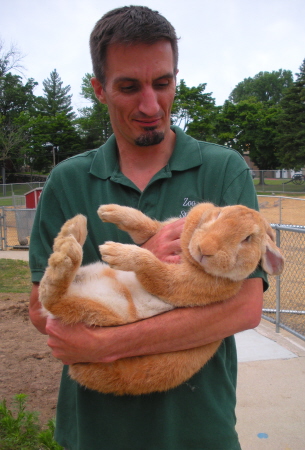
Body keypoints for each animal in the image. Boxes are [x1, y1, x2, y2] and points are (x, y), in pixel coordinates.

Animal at [39, 202, 282, 396]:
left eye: (248, 239)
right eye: (219, 214)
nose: (205, 249)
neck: (190, 256)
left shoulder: (181, 284)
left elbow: (152, 266)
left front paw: (115, 253)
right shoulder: (159, 230)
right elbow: (145, 226)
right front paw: (108, 211)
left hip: (103, 310)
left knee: (54, 297)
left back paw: (68, 250)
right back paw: (73, 228)